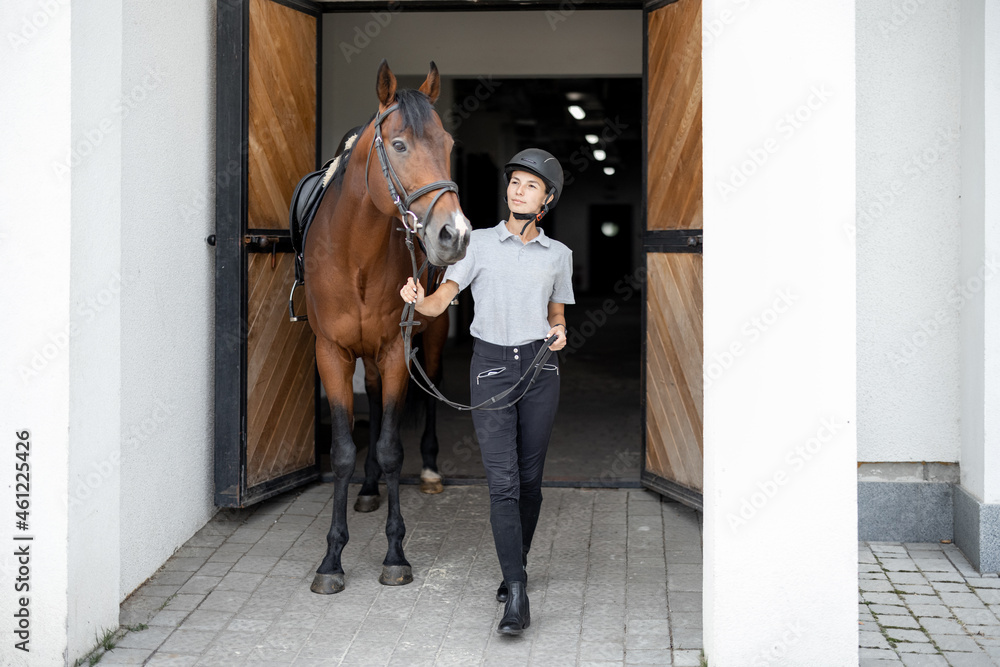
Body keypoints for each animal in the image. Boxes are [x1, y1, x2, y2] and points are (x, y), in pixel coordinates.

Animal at [304, 61, 468, 596]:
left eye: (448, 143)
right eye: (398, 145)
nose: (455, 235)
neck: (355, 254)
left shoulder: (398, 350)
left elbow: (393, 447)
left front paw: (395, 553)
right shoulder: (331, 352)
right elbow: (343, 451)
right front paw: (331, 559)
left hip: (428, 340)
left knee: (430, 392)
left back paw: (431, 472)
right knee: (373, 404)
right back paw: (370, 487)